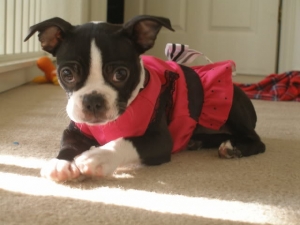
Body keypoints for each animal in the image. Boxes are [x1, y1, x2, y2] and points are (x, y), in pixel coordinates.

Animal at [25, 14, 264, 182]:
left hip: (231, 104)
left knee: (257, 141)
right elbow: (67, 143)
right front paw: (60, 163)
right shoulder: (75, 129)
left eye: (120, 74)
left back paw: (233, 148)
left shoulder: (159, 140)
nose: (93, 100)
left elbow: (126, 141)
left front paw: (99, 156)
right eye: (67, 74)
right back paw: (197, 142)